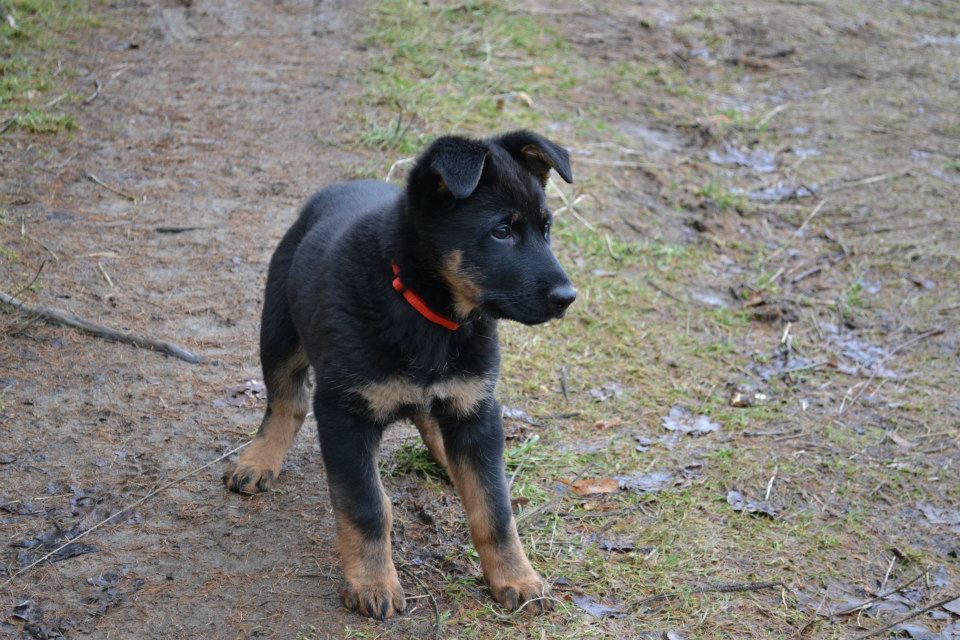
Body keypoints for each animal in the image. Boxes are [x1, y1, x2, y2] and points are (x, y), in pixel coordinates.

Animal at [224, 130, 576, 619]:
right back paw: (259, 459)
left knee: (431, 419)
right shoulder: (344, 413)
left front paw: (515, 577)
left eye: (546, 229)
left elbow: (494, 508)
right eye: (501, 232)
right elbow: (367, 506)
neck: (427, 312)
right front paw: (373, 582)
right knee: (286, 402)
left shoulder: (477, 408)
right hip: (279, 328)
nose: (568, 297)